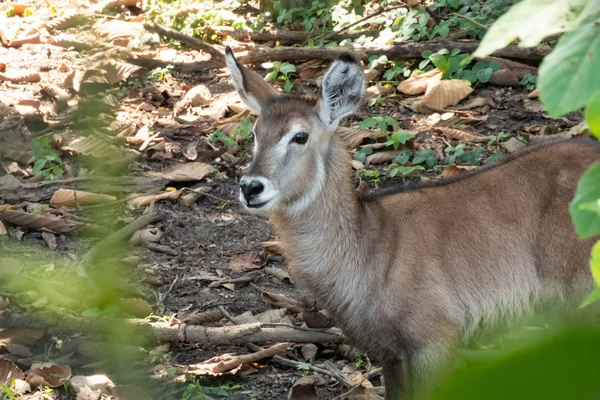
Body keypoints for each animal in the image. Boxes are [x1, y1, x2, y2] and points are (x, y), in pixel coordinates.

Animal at [226, 47, 600, 400]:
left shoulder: (434, 341)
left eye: (300, 136)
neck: (368, 243)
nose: (251, 187)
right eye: (256, 133)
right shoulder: (392, 357)